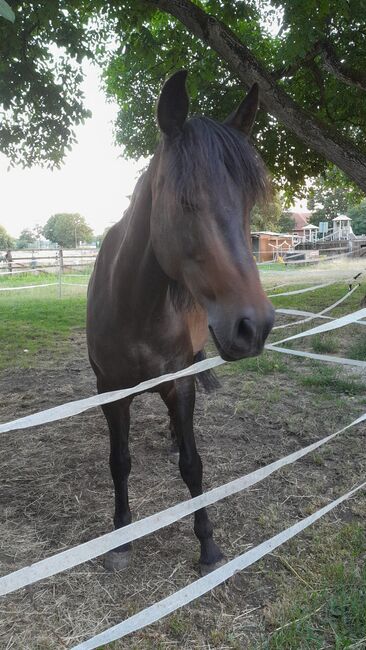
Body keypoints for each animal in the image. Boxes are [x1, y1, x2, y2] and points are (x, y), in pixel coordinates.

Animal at [87, 72, 274, 572]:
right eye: (185, 201)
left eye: (248, 202)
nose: (255, 326)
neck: (135, 305)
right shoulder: (110, 391)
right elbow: (118, 461)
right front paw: (121, 538)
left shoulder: (181, 382)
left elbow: (193, 464)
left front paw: (208, 545)